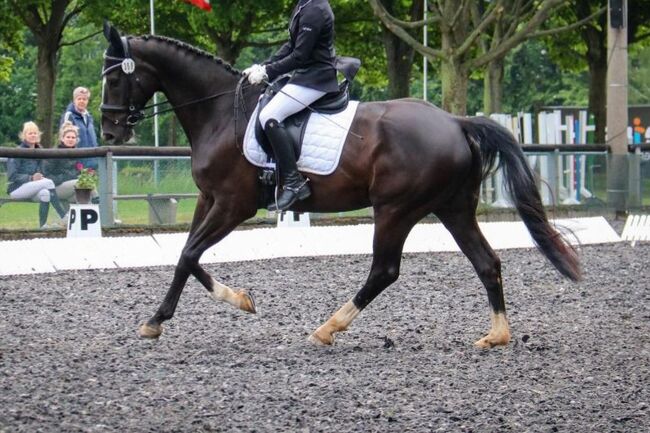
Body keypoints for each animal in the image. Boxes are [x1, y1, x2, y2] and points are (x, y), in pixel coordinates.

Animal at [100, 23, 576, 348]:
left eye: (116, 78)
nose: (109, 131)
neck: (219, 112)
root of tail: (455, 122)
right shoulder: (209, 199)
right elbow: (187, 255)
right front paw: (223, 303)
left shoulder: (234, 204)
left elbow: (189, 254)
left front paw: (168, 318)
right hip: (453, 208)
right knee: (486, 262)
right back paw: (496, 336)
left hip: (396, 210)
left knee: (385, 270)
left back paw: (327, 328)